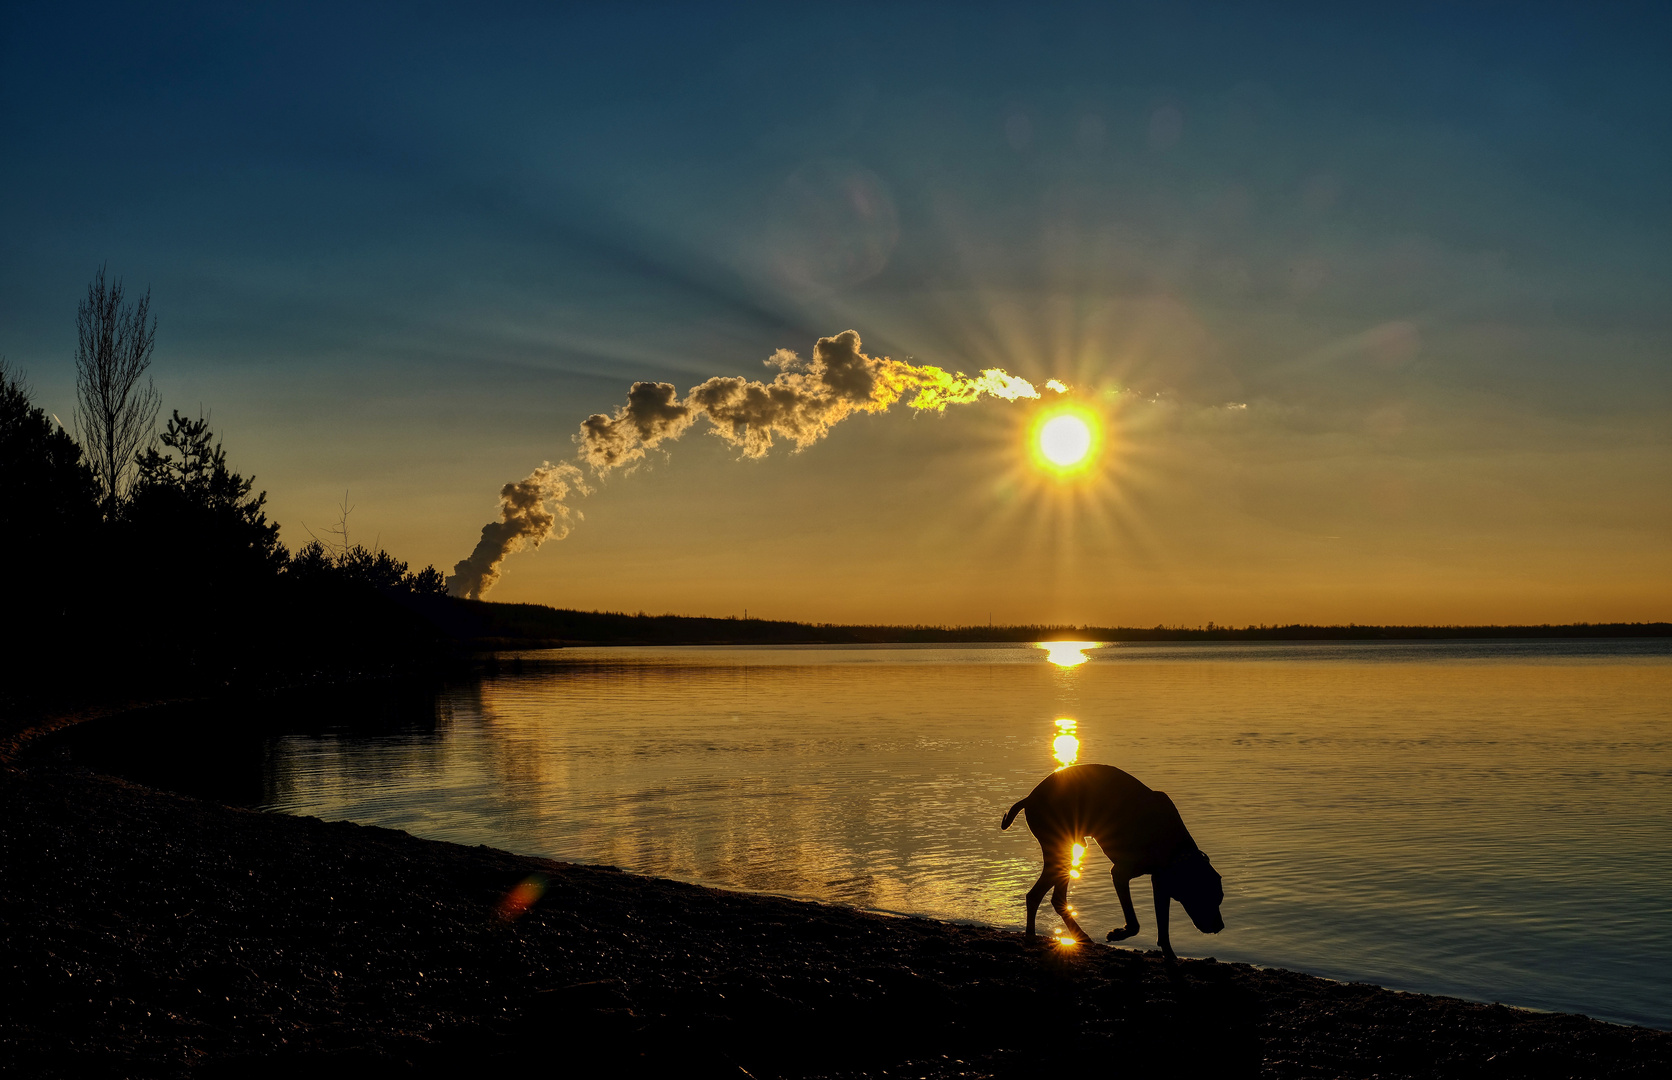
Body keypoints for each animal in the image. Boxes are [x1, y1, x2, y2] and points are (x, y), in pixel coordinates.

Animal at [996, 765, 1223, 962]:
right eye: (1207, 896)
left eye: (1219, 897)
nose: (1220, 926)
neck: (1175, 847)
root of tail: (1029, 798)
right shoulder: (1120, 873)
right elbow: (1134, 923)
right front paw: (1118, 934)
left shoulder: (1160, 882)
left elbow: (1163, 924)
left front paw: (1169, 954)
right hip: (1061, 848)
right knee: (1037, 895)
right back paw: (1032, 936)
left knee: (1054, 898)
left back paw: (1077, 935)